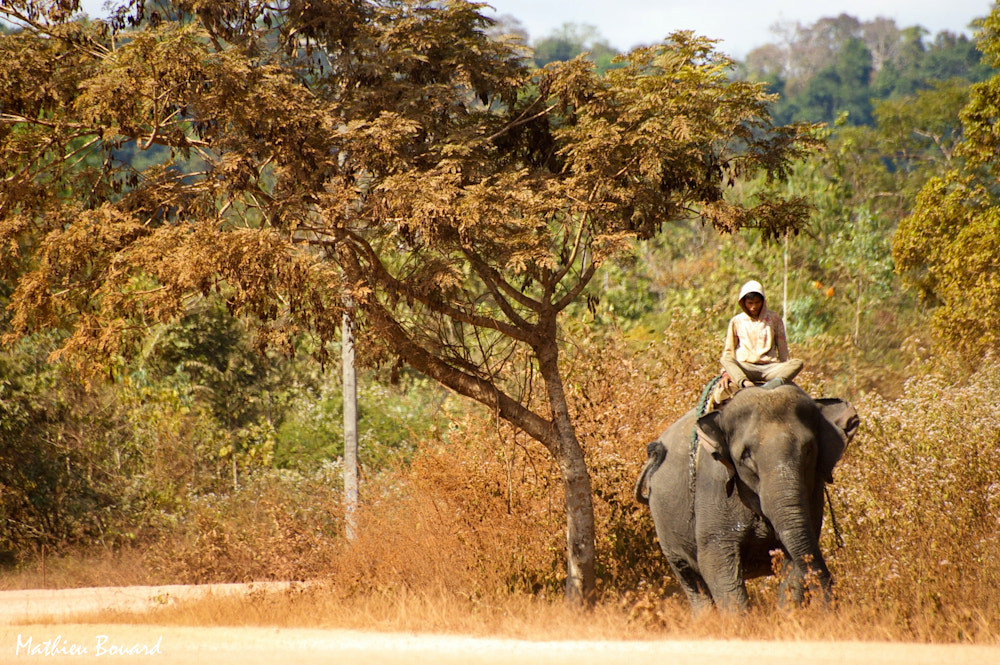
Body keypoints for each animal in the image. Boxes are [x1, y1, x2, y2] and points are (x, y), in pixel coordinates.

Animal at [632, 378, 860, 612]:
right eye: (746, 456)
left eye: (808, 450)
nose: (831, 605)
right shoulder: (713, 490)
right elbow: (716, 564)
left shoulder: (813, 490)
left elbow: (796, 554)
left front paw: (787, 615)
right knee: (690, 579)